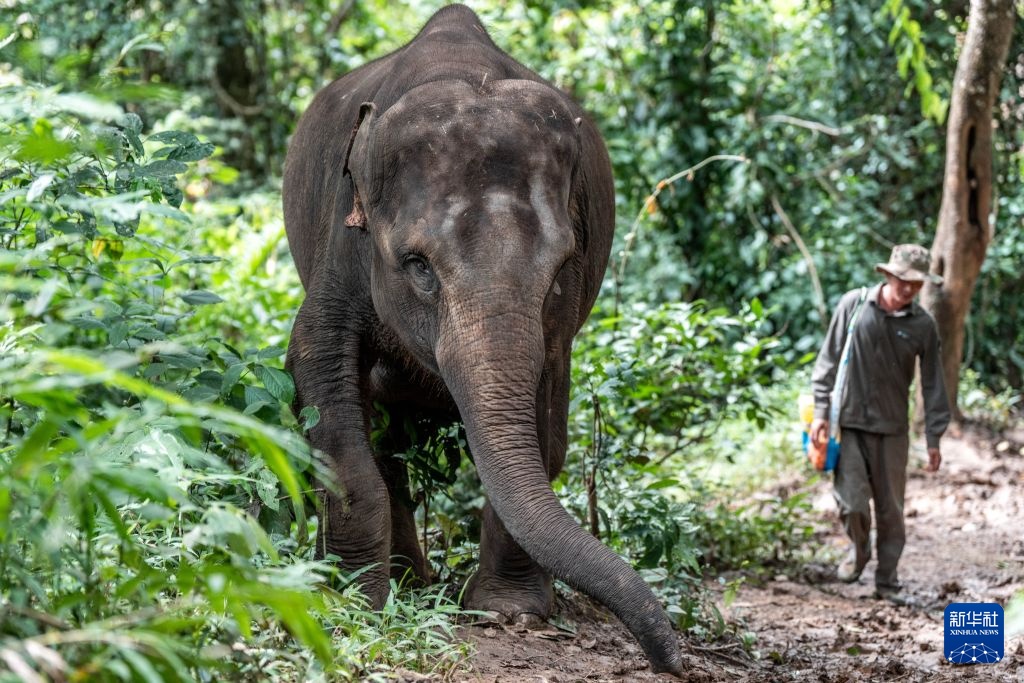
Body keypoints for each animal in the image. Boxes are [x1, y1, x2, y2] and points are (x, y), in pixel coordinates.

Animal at [282, 4, 682, 676]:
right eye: (418, 264)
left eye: (559, 267)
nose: (672, 656)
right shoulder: (343, 245)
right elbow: (318, 364)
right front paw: (353, 600)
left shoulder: (562, 316)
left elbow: (547, 416)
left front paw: (507, 612)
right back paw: (408, 582)